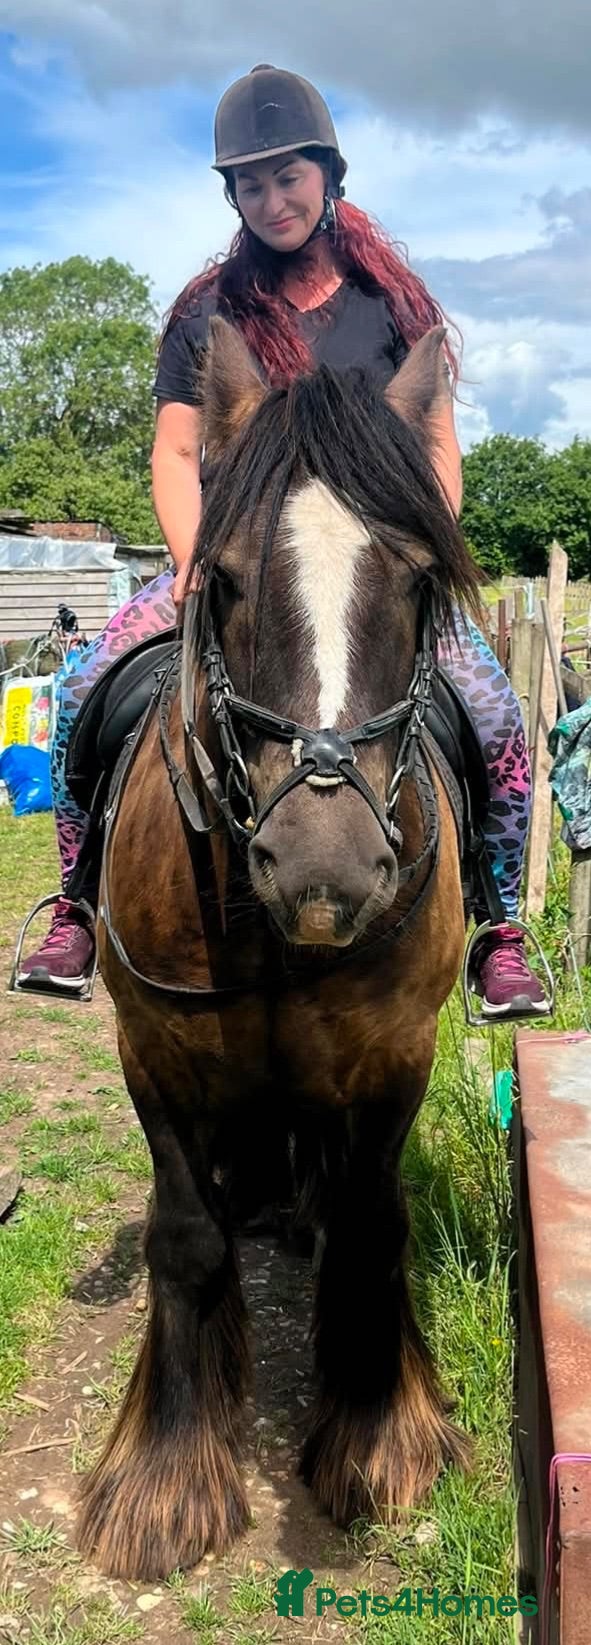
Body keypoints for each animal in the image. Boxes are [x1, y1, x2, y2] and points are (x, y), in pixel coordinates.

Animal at [75, 318, 481, 1581]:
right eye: (229, 577)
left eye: (417, 579)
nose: (325, 871)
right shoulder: (154, 1050)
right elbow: (187, 1237)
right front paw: (166, 1480)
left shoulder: (393, 1052)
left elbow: (372, 1222)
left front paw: (379, 1437)